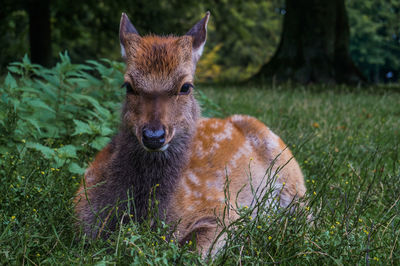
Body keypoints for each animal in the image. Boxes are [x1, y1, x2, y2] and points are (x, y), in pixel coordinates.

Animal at [74, 11, 306, 256]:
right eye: (128, 86)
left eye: (186, 86)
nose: (154, 136)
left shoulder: (221, 209)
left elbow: (193, 250)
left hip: (291, 177)